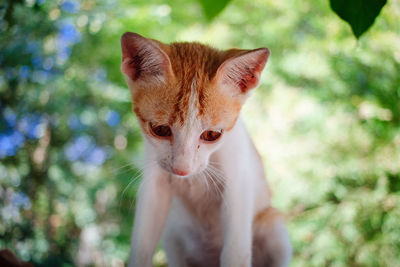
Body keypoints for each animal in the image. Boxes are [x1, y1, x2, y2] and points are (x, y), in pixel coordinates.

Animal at [120, 31, 292, 267]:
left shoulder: (238, 184)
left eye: (212, 135)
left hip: (274, 227)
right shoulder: (155, 182)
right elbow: (142, 247)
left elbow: (235, 254)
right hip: (173, 236)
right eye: (160, 129)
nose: (182, 170)